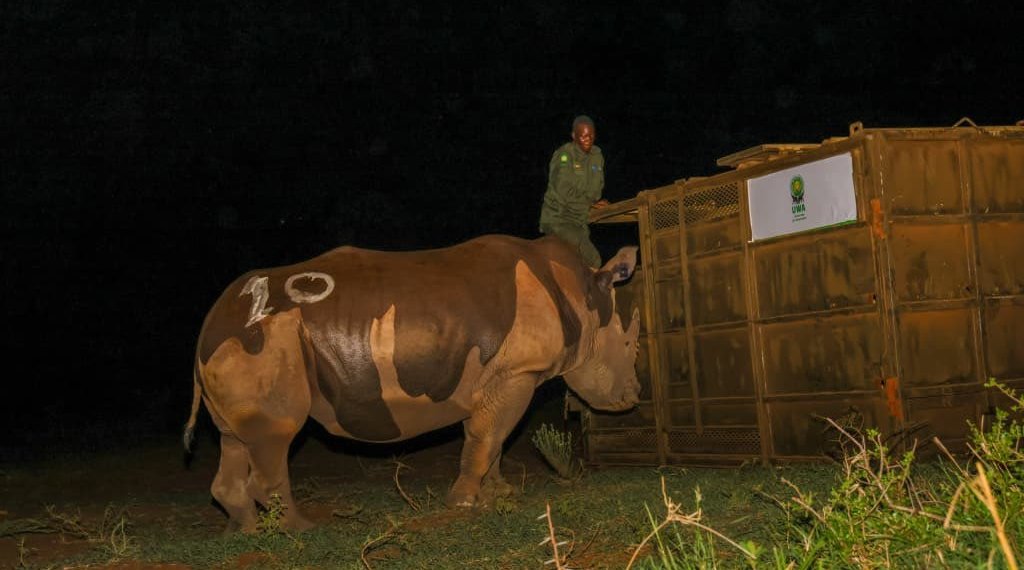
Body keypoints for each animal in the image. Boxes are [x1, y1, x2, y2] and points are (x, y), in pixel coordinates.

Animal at [183, 234, 640, 532]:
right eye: (628, 344)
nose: (633, 398)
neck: (582, 298)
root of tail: (208, 323)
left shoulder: (501, 379)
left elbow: (491, 439)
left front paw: (498, 494)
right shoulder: (518, 372)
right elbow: (490, 437)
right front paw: (464, 502)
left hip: (240, 345)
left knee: (235, 438)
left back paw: (248, 531)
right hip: (267, 341)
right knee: (276, 433)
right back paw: (301, 529)